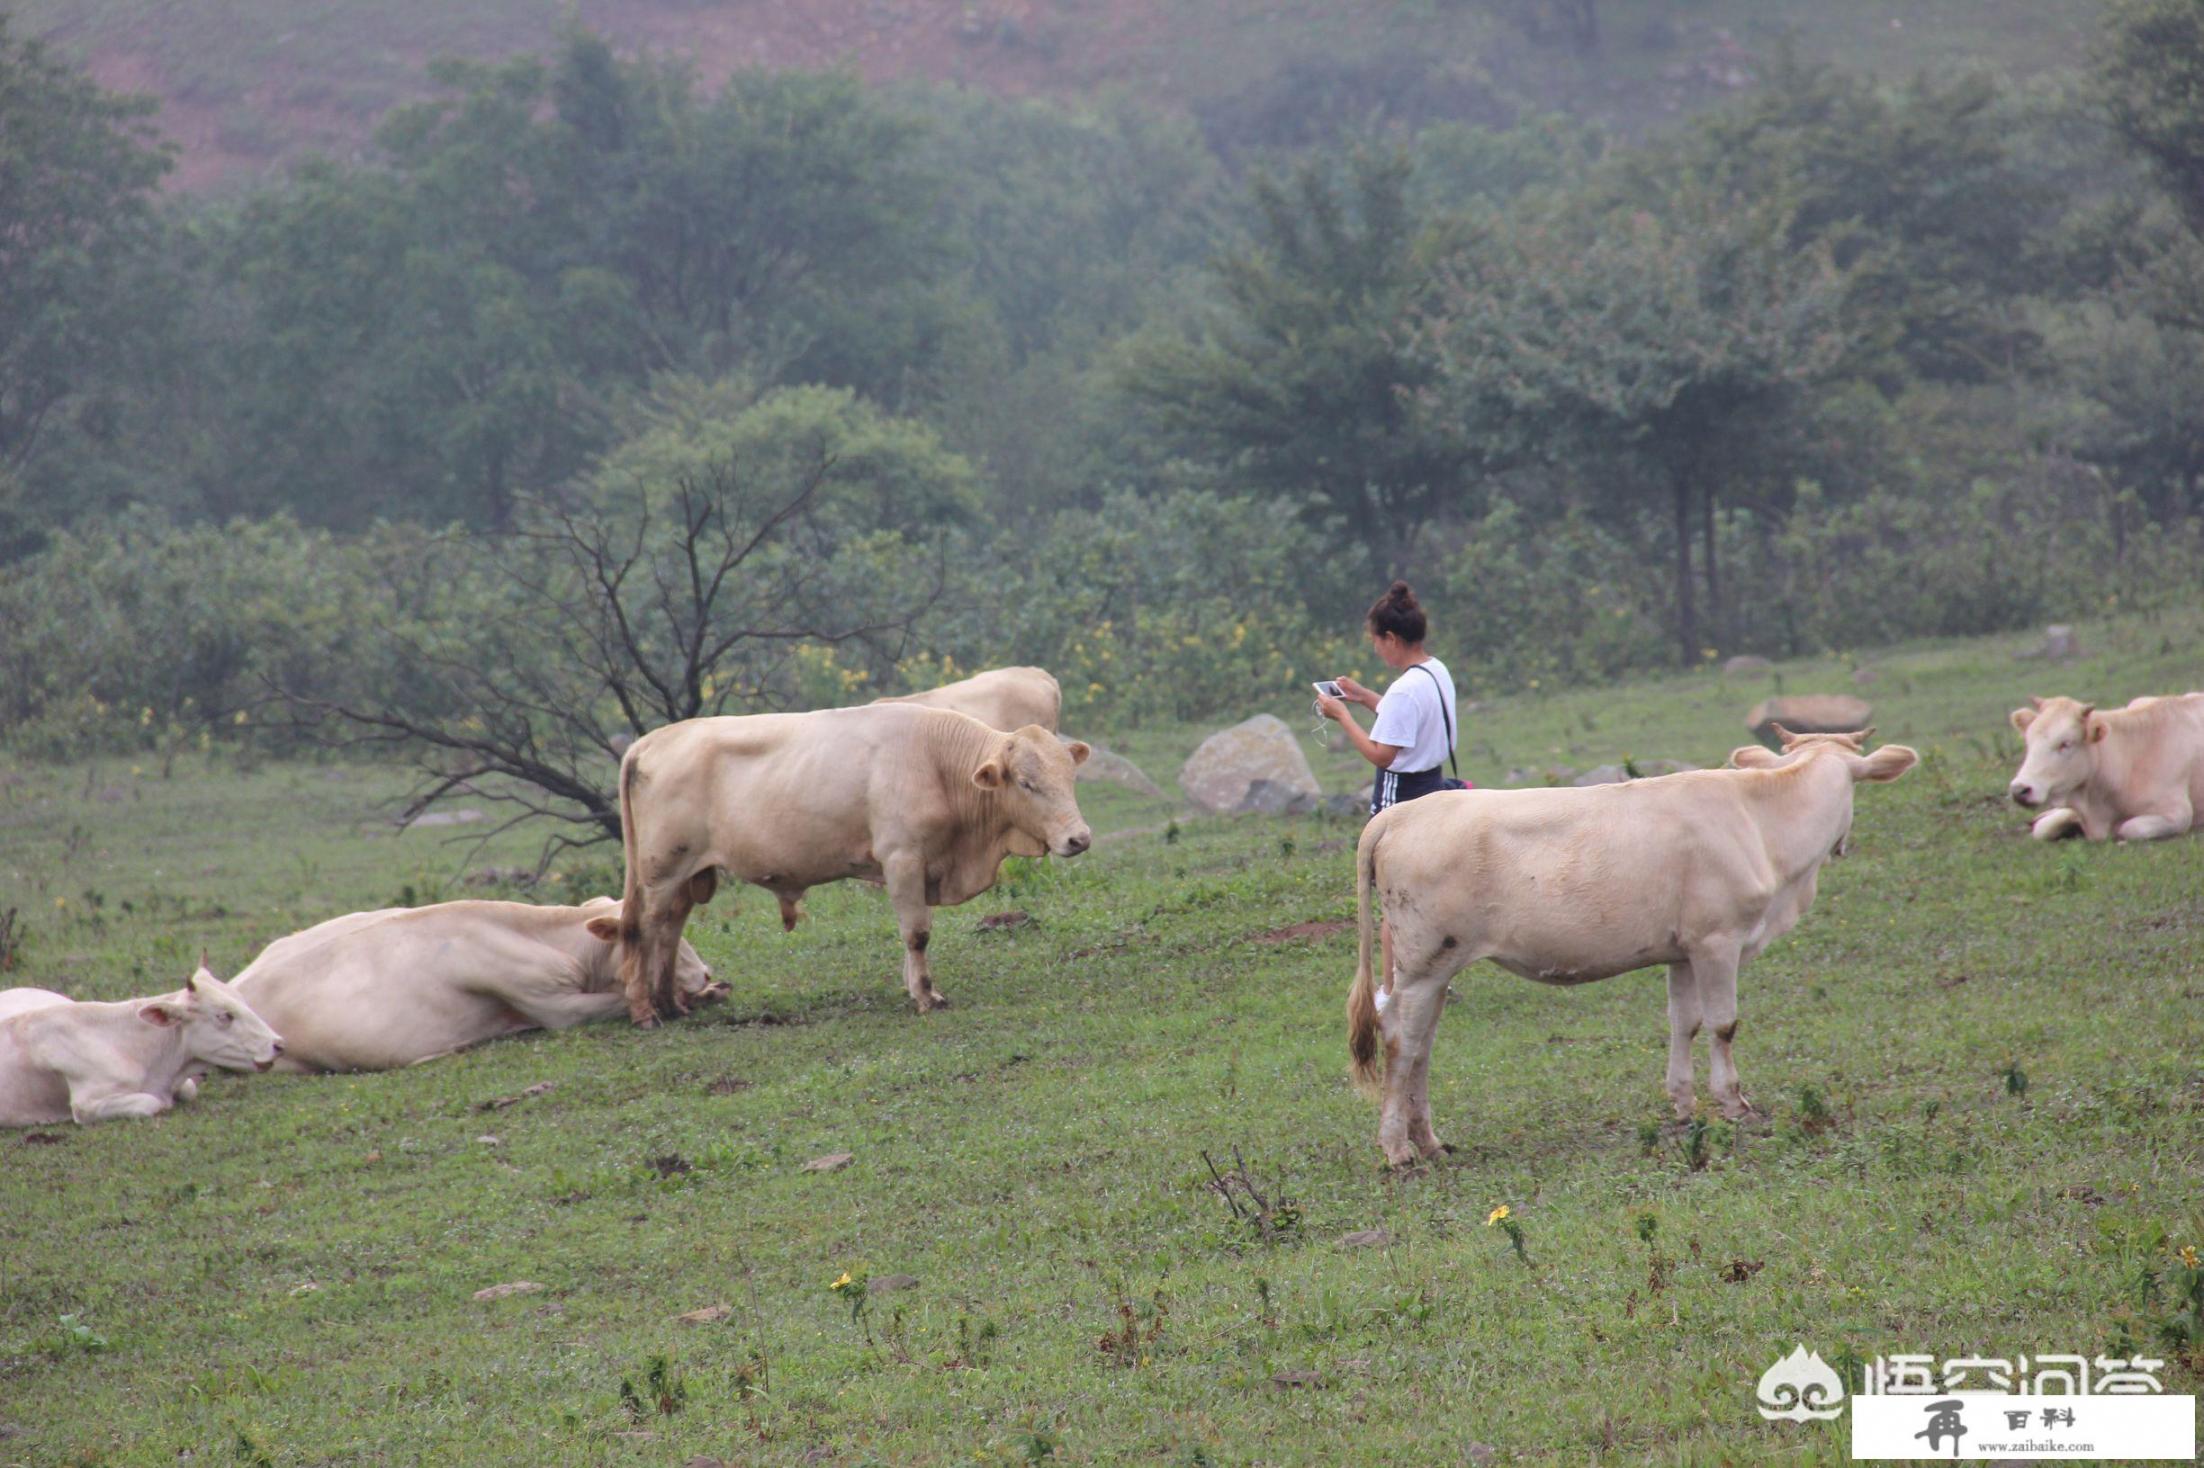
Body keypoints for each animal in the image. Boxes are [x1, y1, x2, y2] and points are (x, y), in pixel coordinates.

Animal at [1340, 727, 1913, 1163]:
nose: (1842, 845)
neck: (1759, 822)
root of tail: (1397, 815)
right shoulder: (1718, 940)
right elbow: (1723, 1025)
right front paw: (1734, 1103)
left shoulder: (1684, 950)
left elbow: (1685, 1023)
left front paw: (1683, 1104)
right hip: (1422, 963)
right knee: (1401, 1040)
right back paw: (1397, 1149)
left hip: (1438, 967)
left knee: (1423, 1046)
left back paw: (1430, 1141)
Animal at [2018, 692, 2204, 842]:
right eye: (2028, 741)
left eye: (2065, 744)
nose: (2018, 789)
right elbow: (2044, 828)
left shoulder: (2179, 814)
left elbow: (2130, 828)